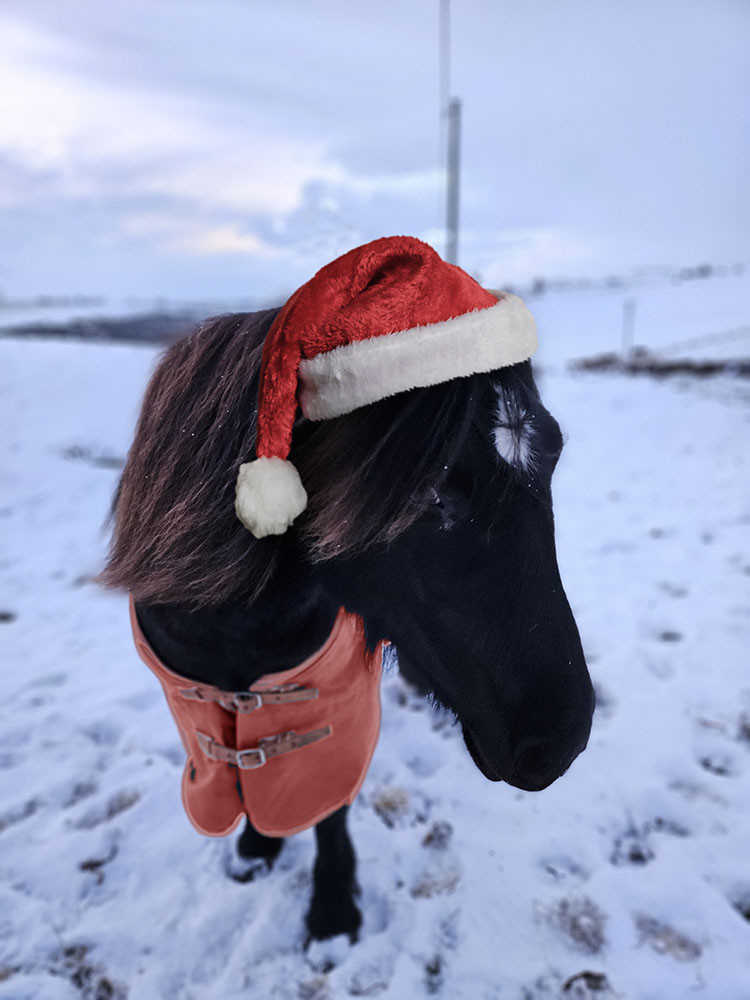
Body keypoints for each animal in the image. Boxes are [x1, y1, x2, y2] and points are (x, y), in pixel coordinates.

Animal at [100, 304, 596, 944]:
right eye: (432, 494)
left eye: (554, 452)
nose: (559, 742)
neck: (233, 636)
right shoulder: (201, 707)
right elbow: (245, 769)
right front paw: (258, 846)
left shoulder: (330, 709)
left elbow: (326, 805)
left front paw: (332, 908)